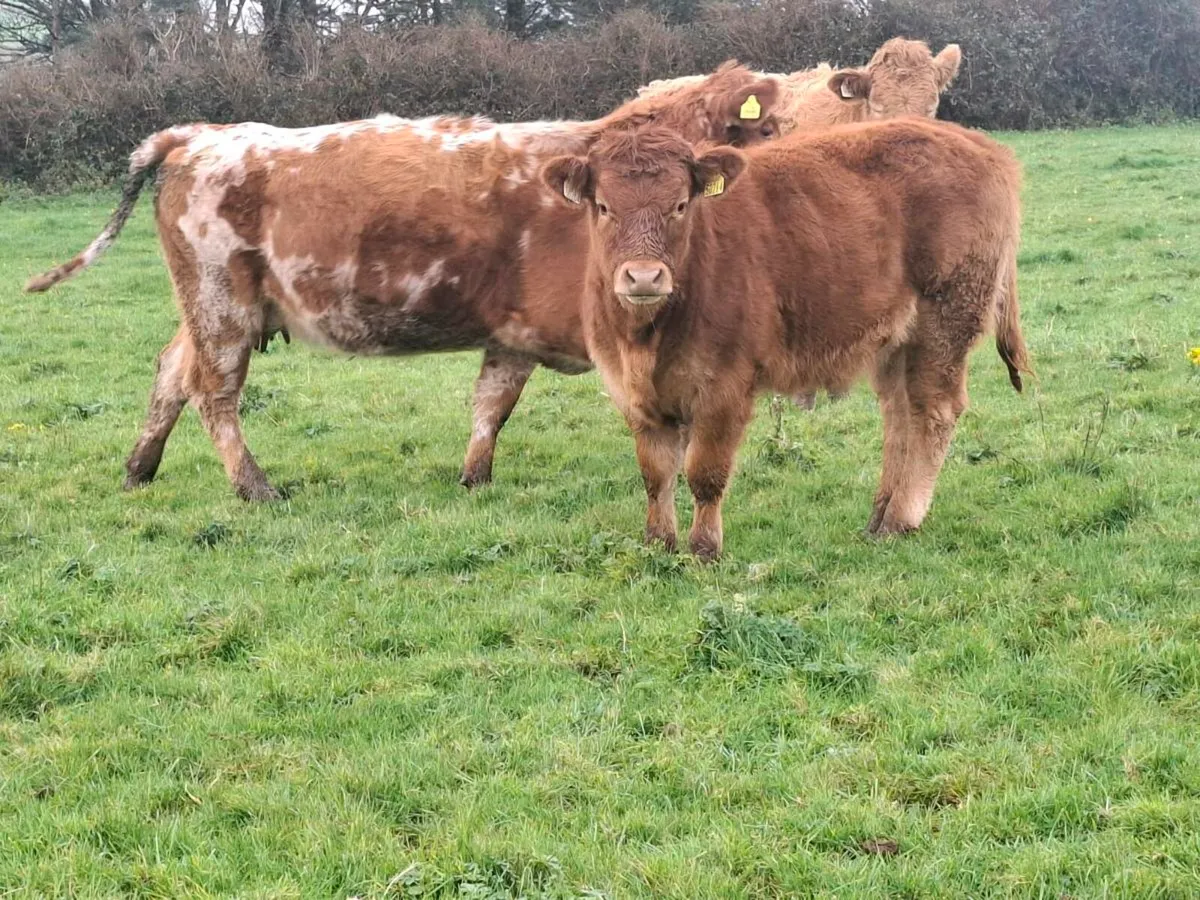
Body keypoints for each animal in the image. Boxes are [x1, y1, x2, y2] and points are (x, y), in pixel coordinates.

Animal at [24, 63, 783, 501]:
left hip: (212, 313)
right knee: (213, 395)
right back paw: (253, 486)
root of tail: (201, 133)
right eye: (769, 127)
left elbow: (490, 406)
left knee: (170, 372)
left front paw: (475, 478)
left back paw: (138, 469)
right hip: (223, 308)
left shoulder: (512, 333)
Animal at [540, 120, 1028, 559]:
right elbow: (655, 475)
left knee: (934, 412)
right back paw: (879, 515)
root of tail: (982, 146)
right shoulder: (634, 395)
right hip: (897, 341)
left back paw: (901, 518)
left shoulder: (724, 386)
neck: (644, 340)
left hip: (946, 319)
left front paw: (704, 549)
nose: (643, 276)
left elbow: (705, 473)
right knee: (900, 414)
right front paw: (658, 545)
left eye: (679, 205)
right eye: (604, 207)